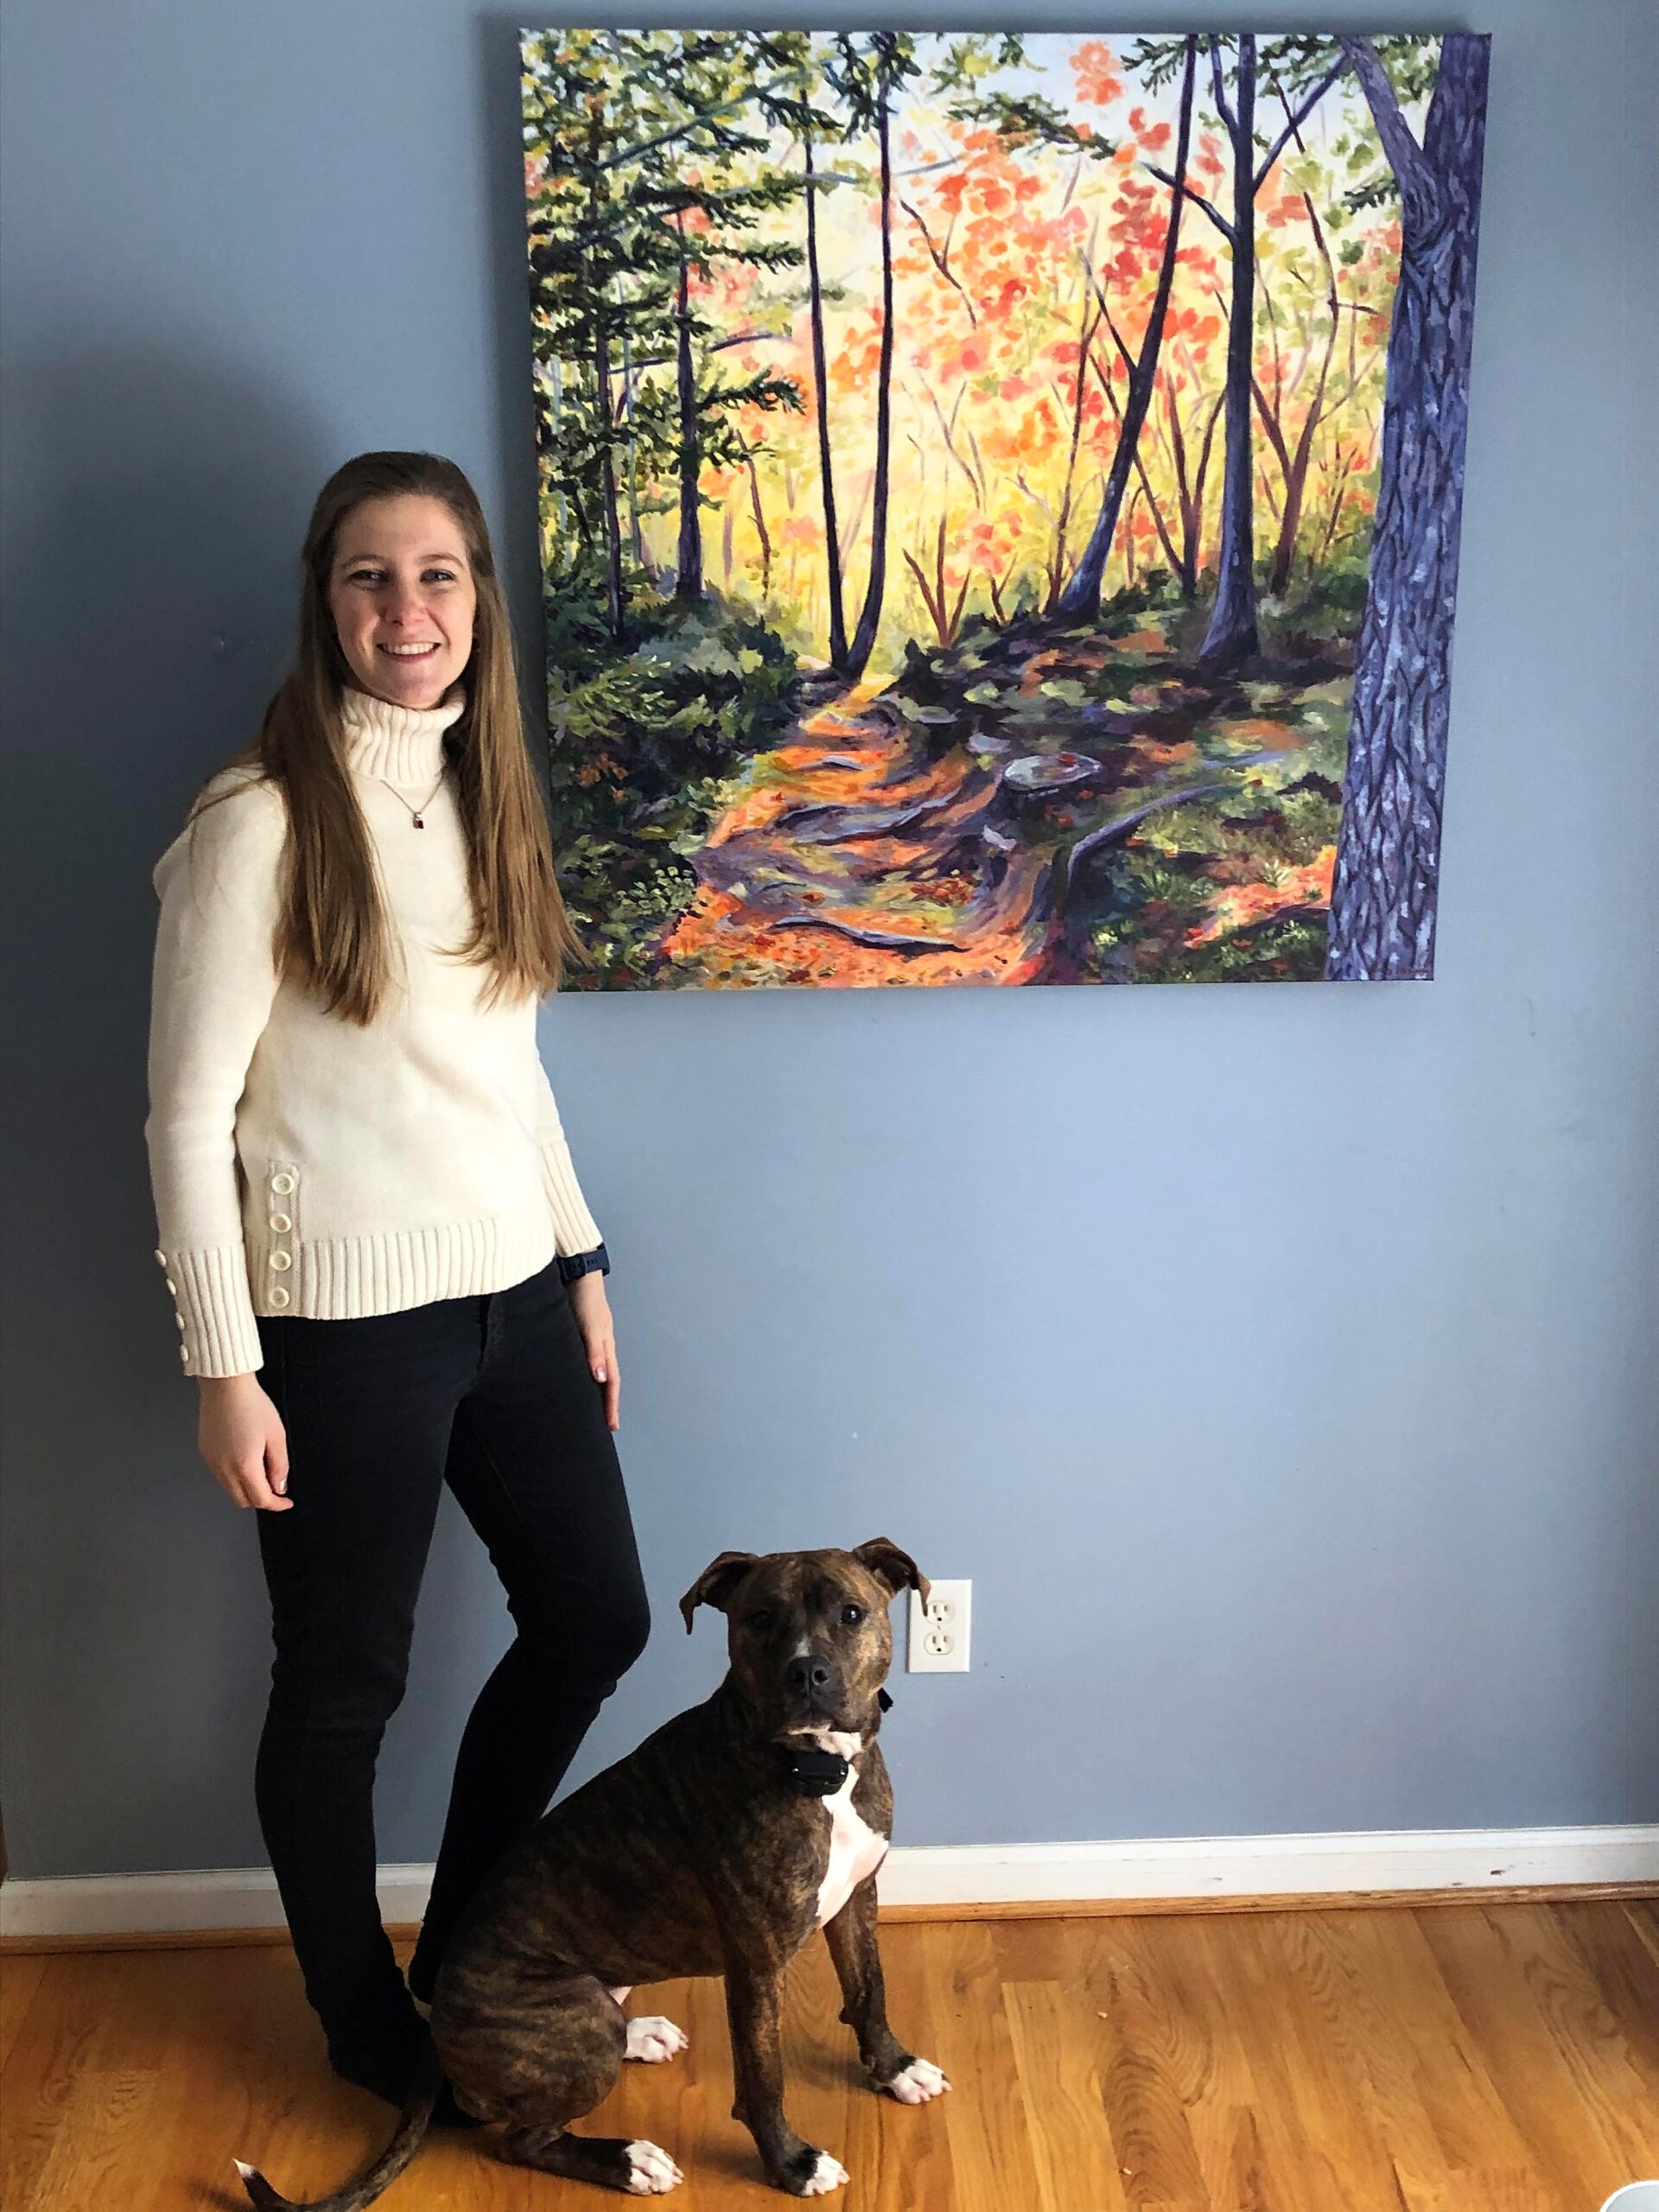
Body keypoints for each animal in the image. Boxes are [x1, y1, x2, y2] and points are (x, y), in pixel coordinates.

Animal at [239, 1548, 955, 2202]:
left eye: (852, 1613)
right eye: (759, 1619)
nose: (806, 1671)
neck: (818, 1770)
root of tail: (439, 2035)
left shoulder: (858, 1899)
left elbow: (869, 1990)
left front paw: (895, 2069)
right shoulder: (756, 1965)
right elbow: (763, 2078)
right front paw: (792, 2164)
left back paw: (640, 2034)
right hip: (573, 2025)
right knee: (522, 2139)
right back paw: (629, 2161)